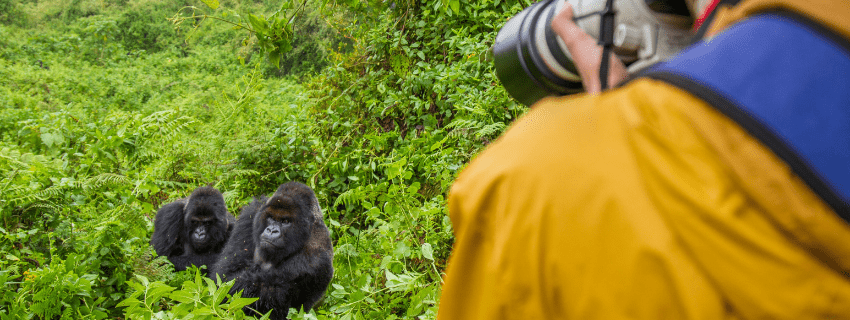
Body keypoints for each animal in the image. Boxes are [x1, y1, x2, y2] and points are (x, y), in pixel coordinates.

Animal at [210, 182, 332, 320]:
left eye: (285, 221)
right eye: (271, 218)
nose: (272, 230)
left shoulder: (314, 258)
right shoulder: (252, 214)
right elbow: (226, 275)